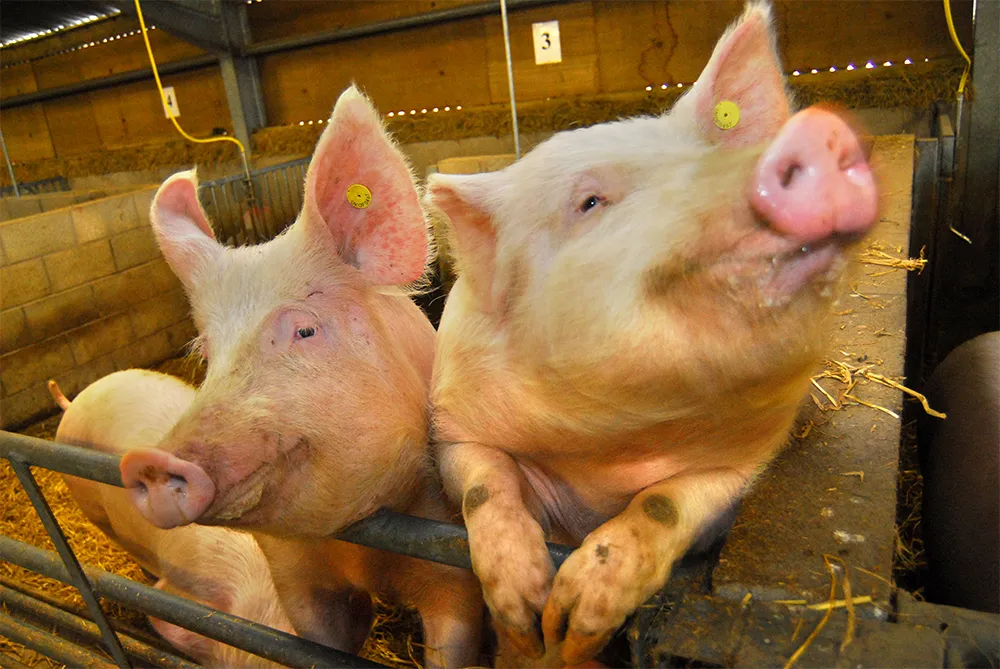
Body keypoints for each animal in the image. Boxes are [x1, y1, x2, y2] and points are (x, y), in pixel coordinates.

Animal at [116, 86, 483, 668]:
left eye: (305, 330)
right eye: (206, 352)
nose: (150, 461)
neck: (360, 546)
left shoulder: (451, 562)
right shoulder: (293, 572)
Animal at [423, 3, 879, 666]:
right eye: (590, 202)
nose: (816, 132)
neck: (615, 447)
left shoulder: (741, 467)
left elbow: (666, 503)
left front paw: (576, 622)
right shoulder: (454, 426)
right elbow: (485, 484)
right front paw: (528, 614)